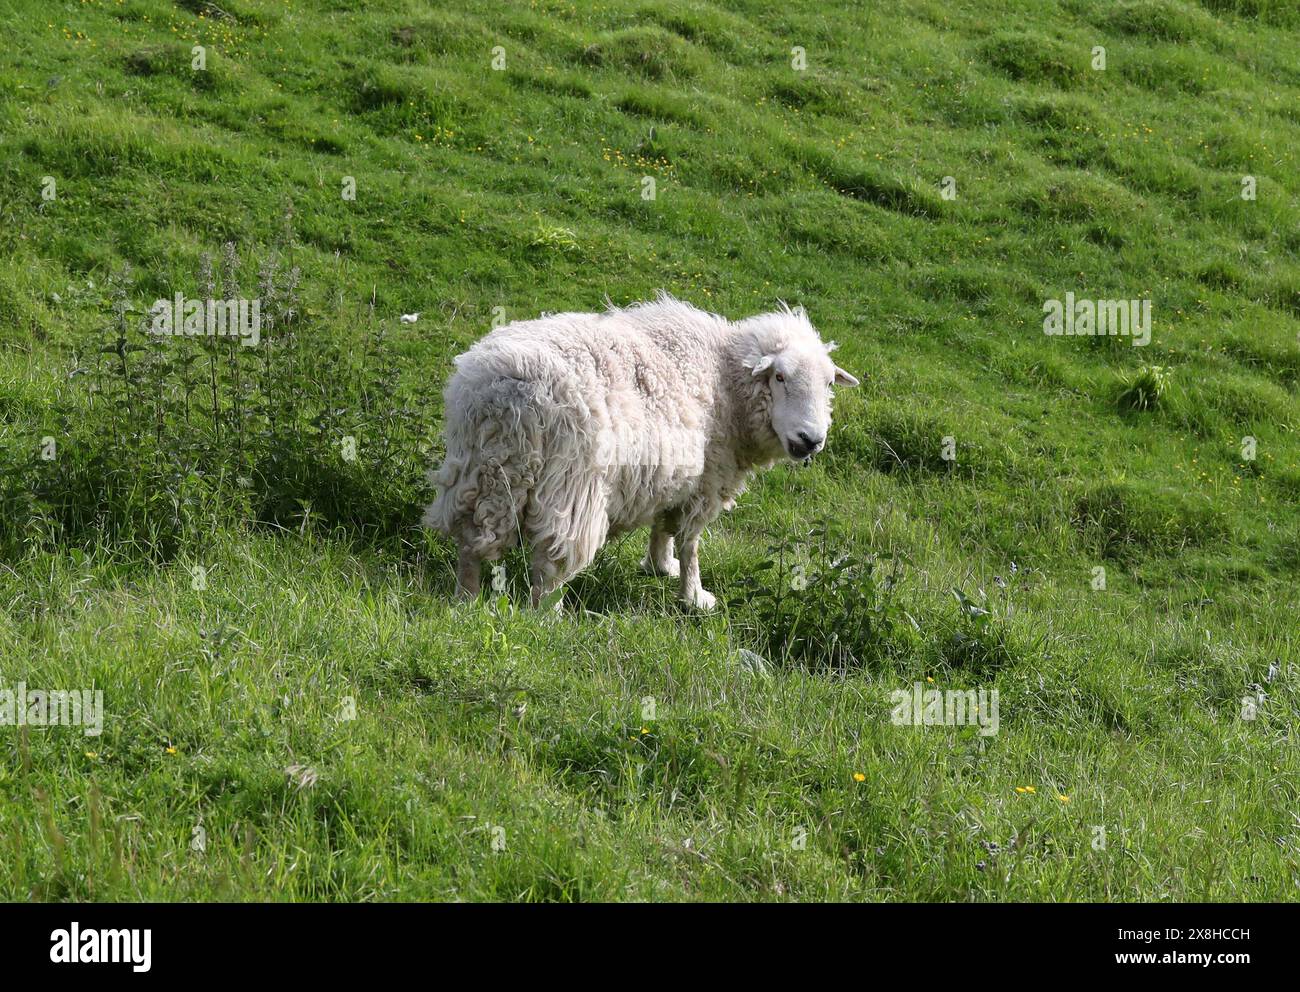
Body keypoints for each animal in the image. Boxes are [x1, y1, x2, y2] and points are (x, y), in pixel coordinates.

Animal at [423, 294, 859, 609]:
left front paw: (658, 565)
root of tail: (506, 390)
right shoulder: (705, 481)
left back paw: (465, 600)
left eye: (828, 384)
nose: (811, 440)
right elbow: (690, 542)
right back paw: (546, 615)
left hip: (482, 471)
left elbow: (663, 526)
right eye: (780, 377)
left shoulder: (674, 477)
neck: (726, 379)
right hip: (570, 484)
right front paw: (694, 595)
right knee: (551, 558)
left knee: (471, 539)